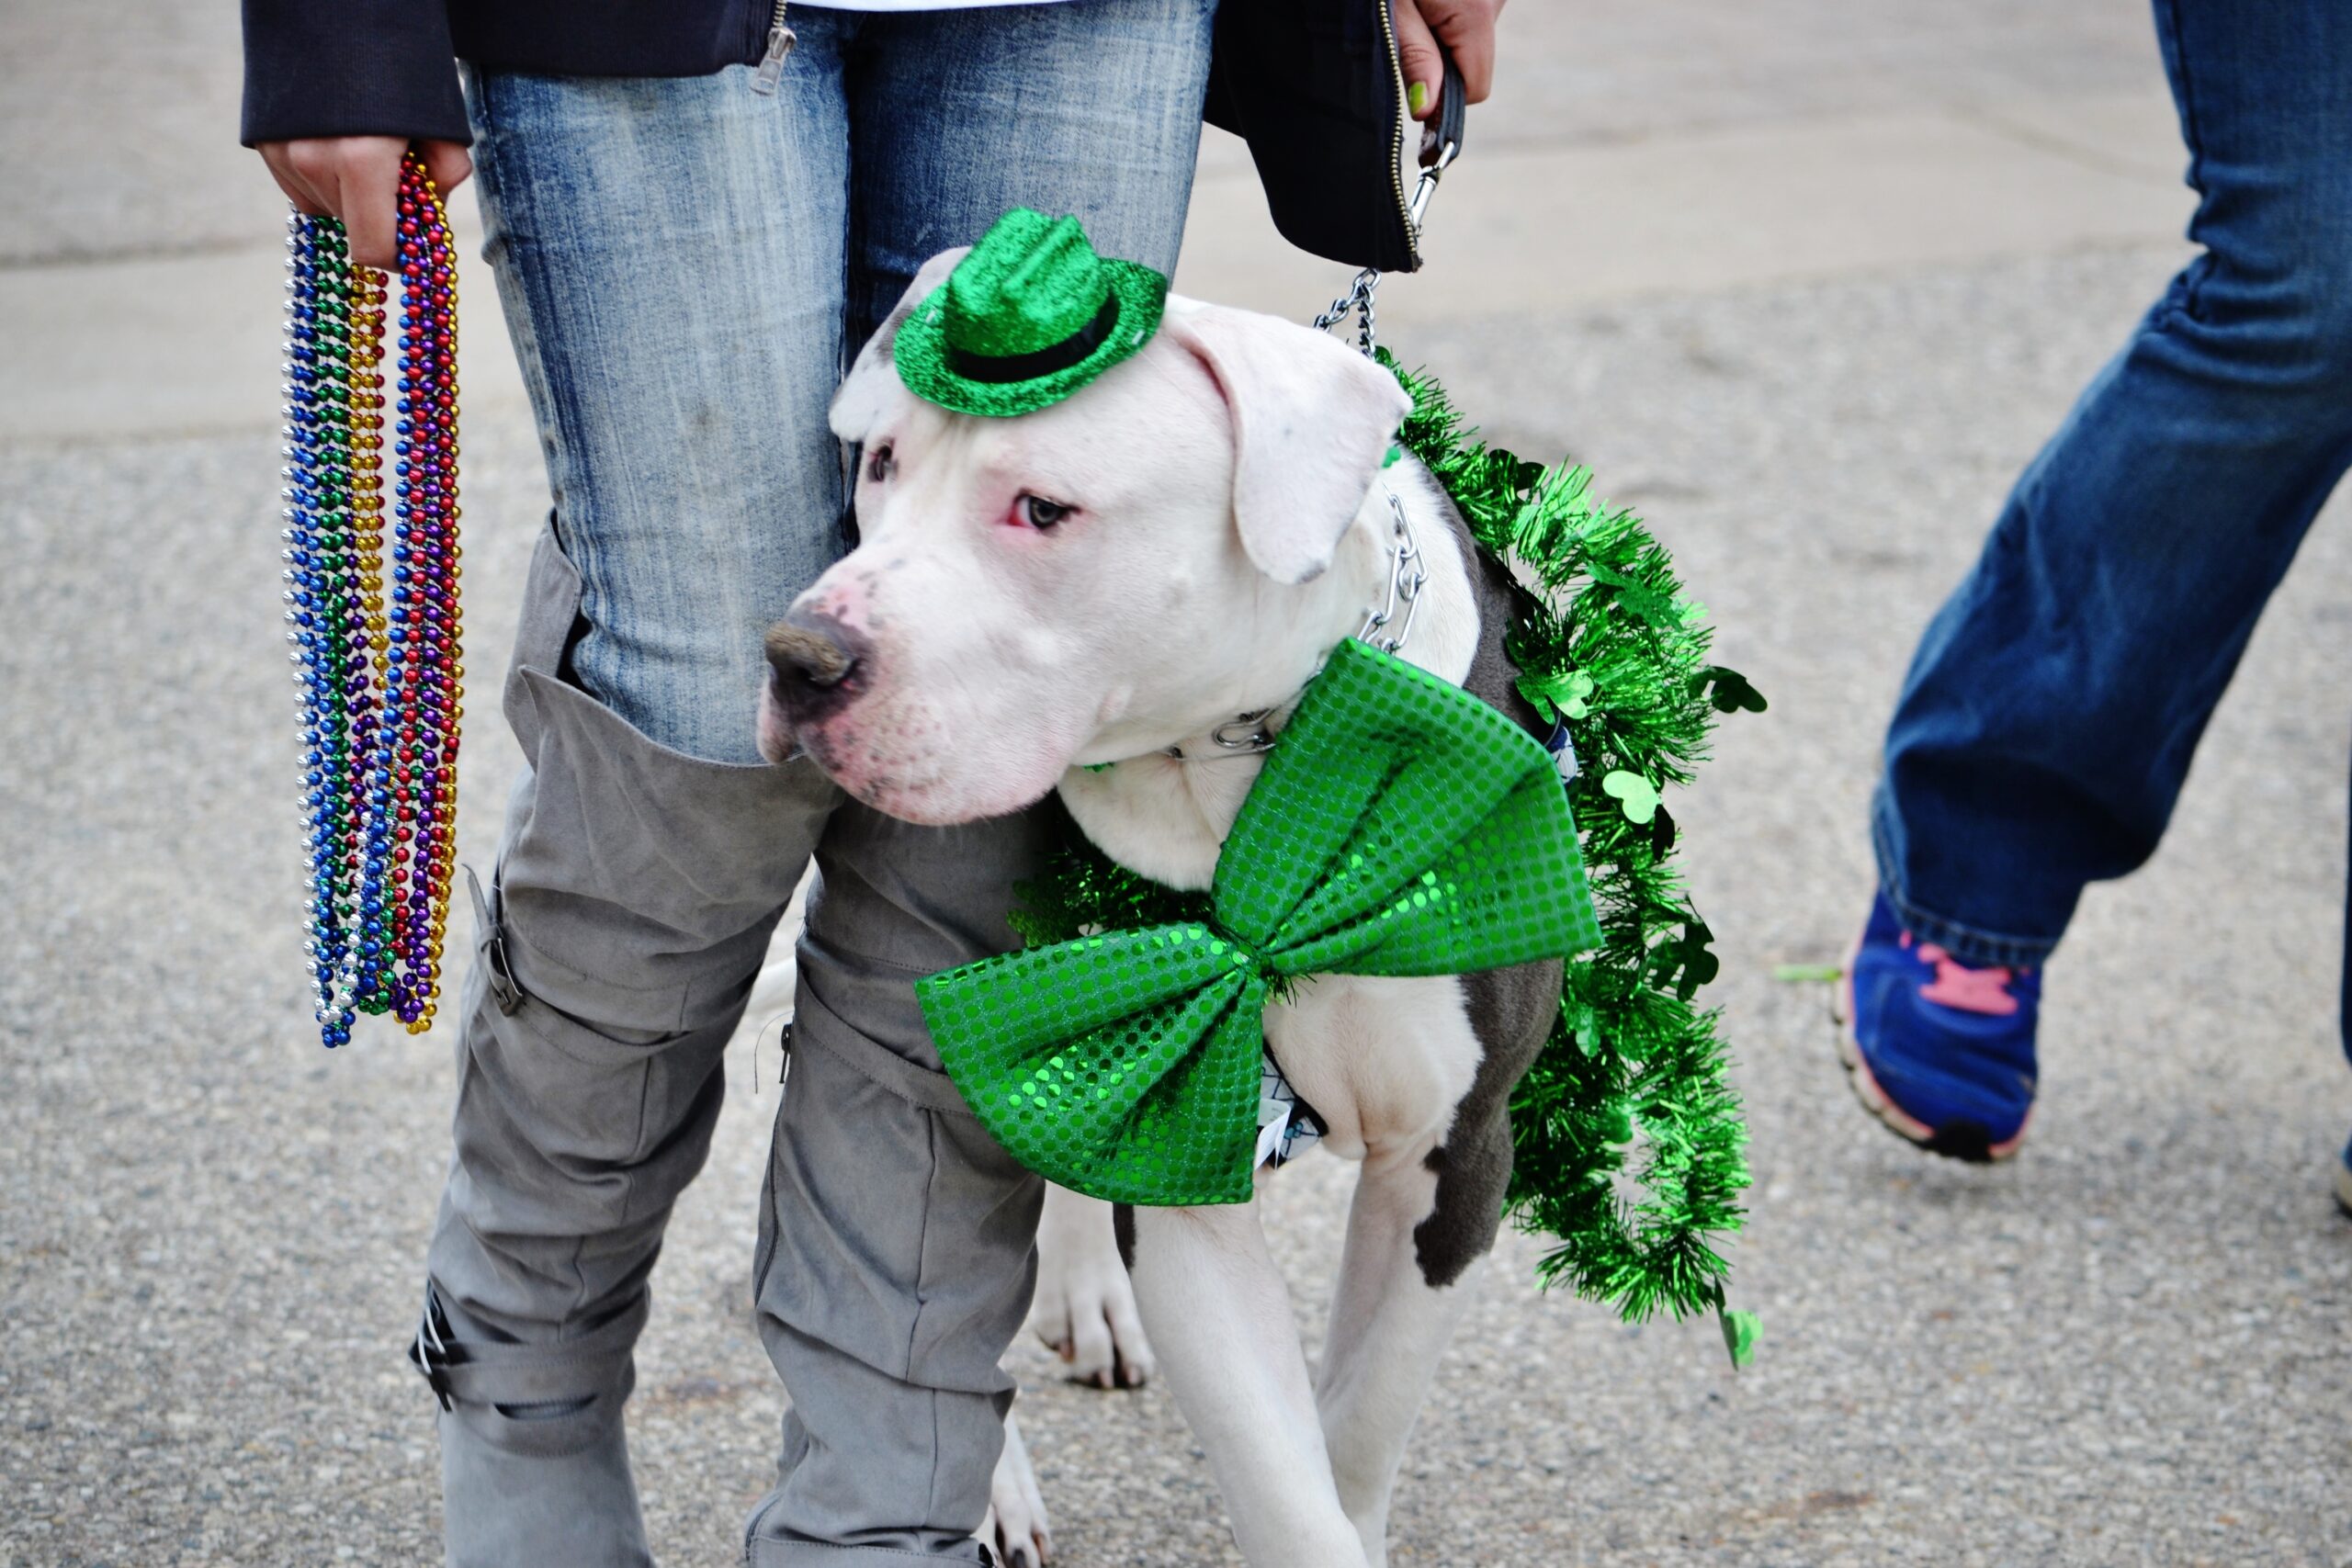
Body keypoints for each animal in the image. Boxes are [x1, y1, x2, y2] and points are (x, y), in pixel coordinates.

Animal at [766, 251, 1561, 1561]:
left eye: (1043, 509)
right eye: (881, 464)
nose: (799, 657)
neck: (1253, 775)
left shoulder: (1453, 1155)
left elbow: (1354, 1427)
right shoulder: (1187, 1187)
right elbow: (1282, 1478)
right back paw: (986, 1489)